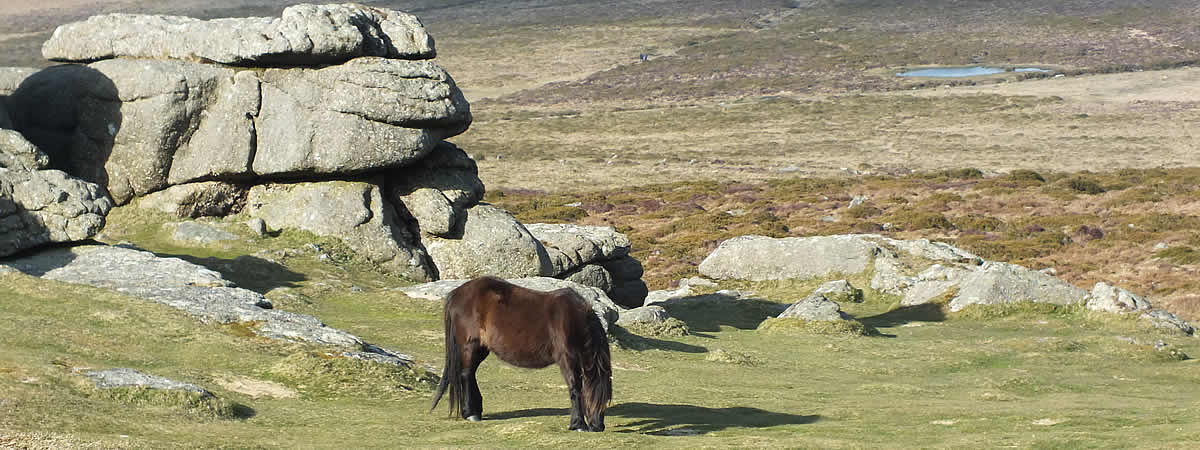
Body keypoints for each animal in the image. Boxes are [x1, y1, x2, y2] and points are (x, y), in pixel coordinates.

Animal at [432, 277, 614, 432]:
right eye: (596, 397)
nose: (599, 427)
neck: (571, 319)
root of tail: (456, 294)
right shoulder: (567, 358)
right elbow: (575, 387)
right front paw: (578, 424)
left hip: (481, 348)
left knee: (470, 374)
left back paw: (474, 411)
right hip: (470, 346)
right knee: (466, 374)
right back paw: (471, 413)